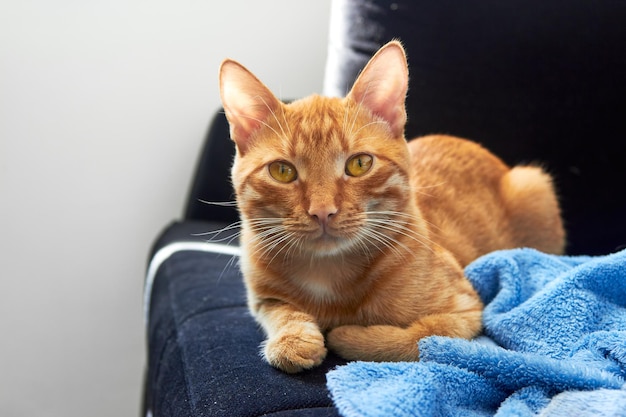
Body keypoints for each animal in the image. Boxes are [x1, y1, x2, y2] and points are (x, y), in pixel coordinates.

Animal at [217, 41, 564, 374]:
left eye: (359, 164)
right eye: (282, 171)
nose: (322, 211)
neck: (328, 274)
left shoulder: (465, 312)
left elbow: (417, 339)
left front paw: (347, 335)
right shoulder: (262, 296)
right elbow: (280, 310)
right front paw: (293, 339)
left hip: (532, 185)